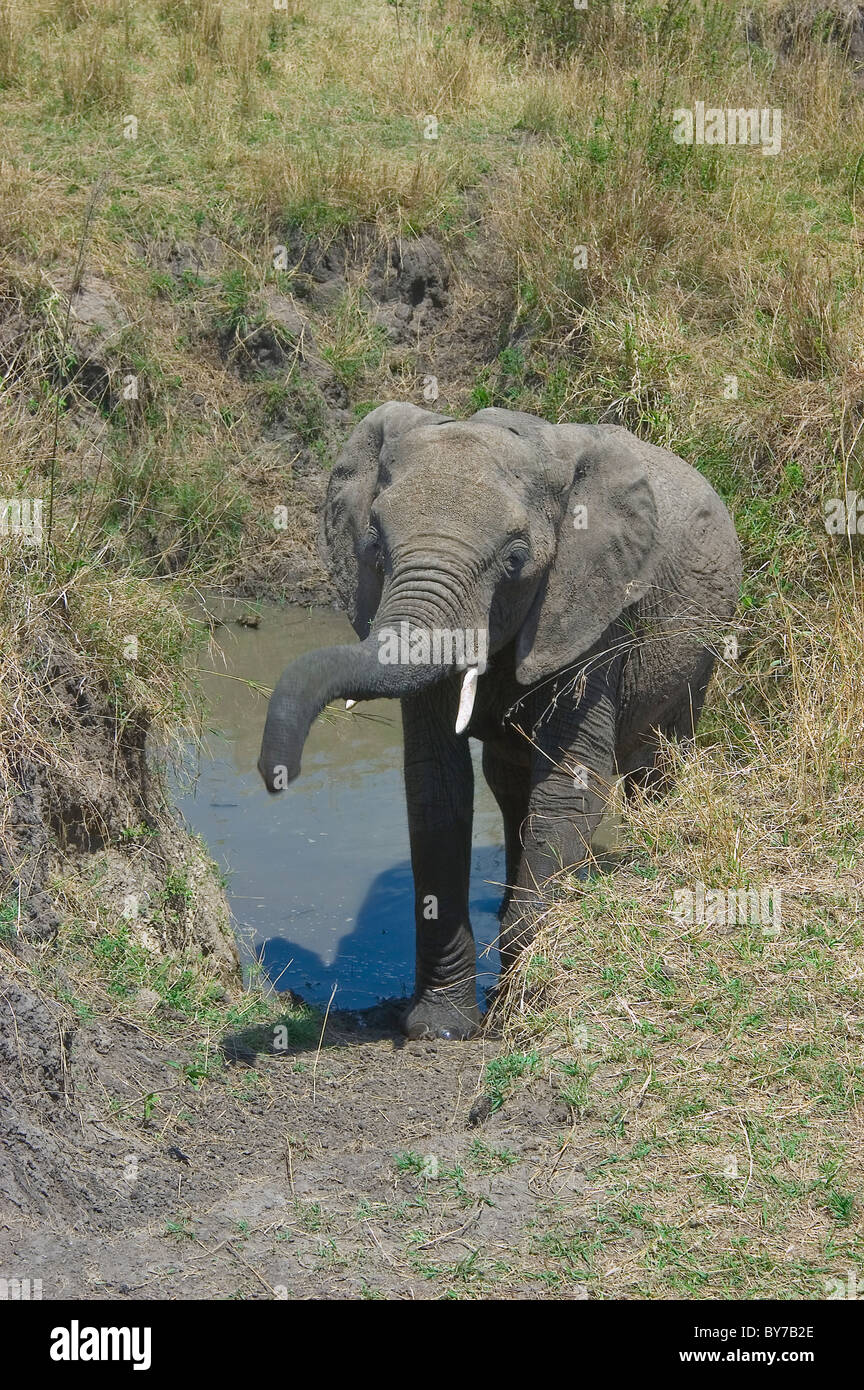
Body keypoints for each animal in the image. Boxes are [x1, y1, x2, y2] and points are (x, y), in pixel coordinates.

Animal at [258, 403, 741, 1039]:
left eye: (516, 560)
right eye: (375, 545)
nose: (276, 774)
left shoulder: (591, 608)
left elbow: (569, 783)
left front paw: (519, 1008)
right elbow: (436, 786)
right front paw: (440, 1028)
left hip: (705, 638)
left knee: (660, 759)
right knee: (509, 784)